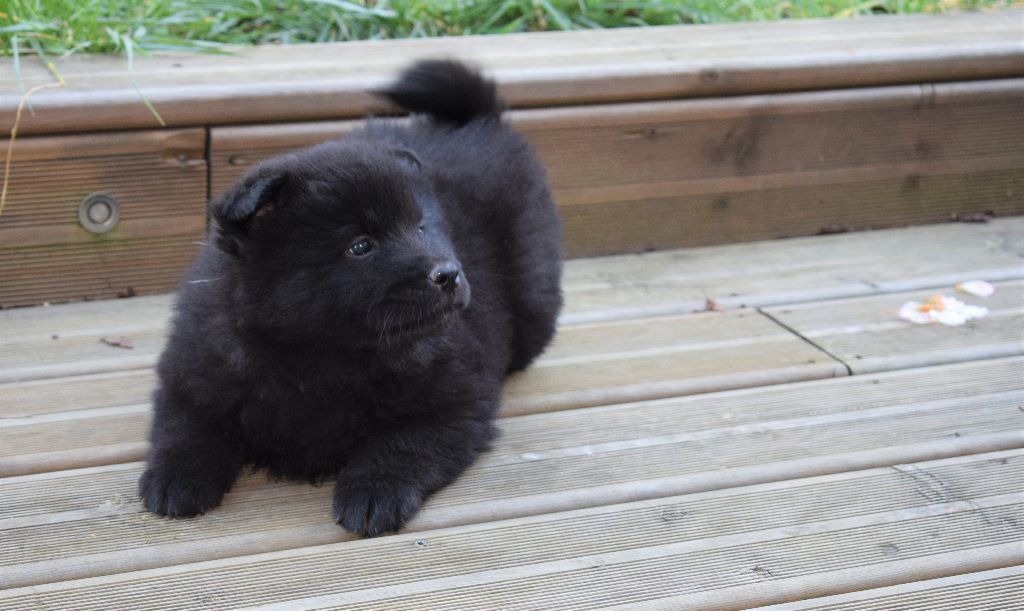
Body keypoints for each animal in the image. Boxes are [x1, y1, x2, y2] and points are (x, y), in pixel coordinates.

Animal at [139, 60, 563, 536]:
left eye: (421, 227)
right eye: (361, 246)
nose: (449, 274)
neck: (320, 357)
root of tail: (473, 119)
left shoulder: (455, 396)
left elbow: (402, 443)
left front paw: (372, 494)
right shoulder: (194, 372)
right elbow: (185, 427)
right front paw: (175, 479)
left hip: (532, 294)